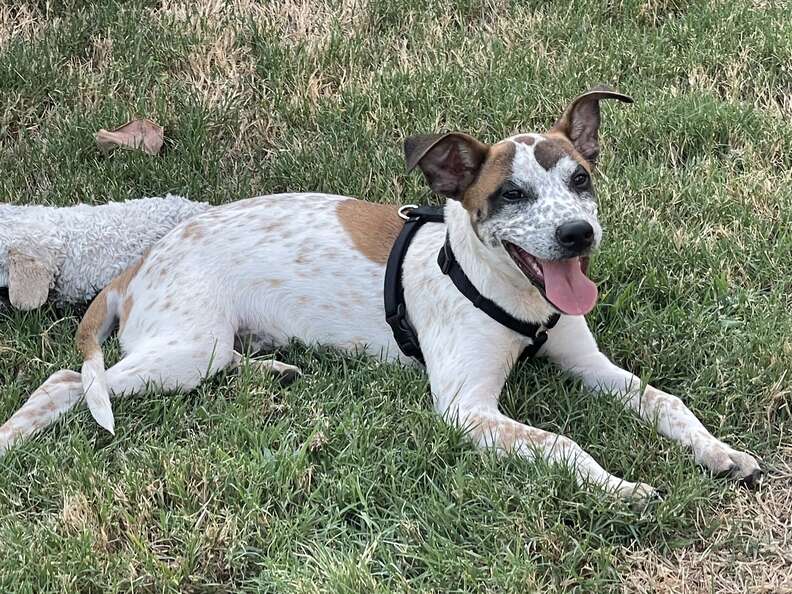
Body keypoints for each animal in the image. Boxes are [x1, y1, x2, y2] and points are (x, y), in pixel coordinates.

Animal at [0, 85, 760, 498]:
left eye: (581, 180)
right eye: (511, 195)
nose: (578, 235)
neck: (512, 295)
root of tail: (138, 264)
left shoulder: (589, 363)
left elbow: (664, 400)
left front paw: (718, 452)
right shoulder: (466, 409)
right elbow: (560, 444)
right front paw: (619, 487)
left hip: (203, 349)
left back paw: (274, 369)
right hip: (186, 348)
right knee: (69, 382)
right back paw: (13, 436)